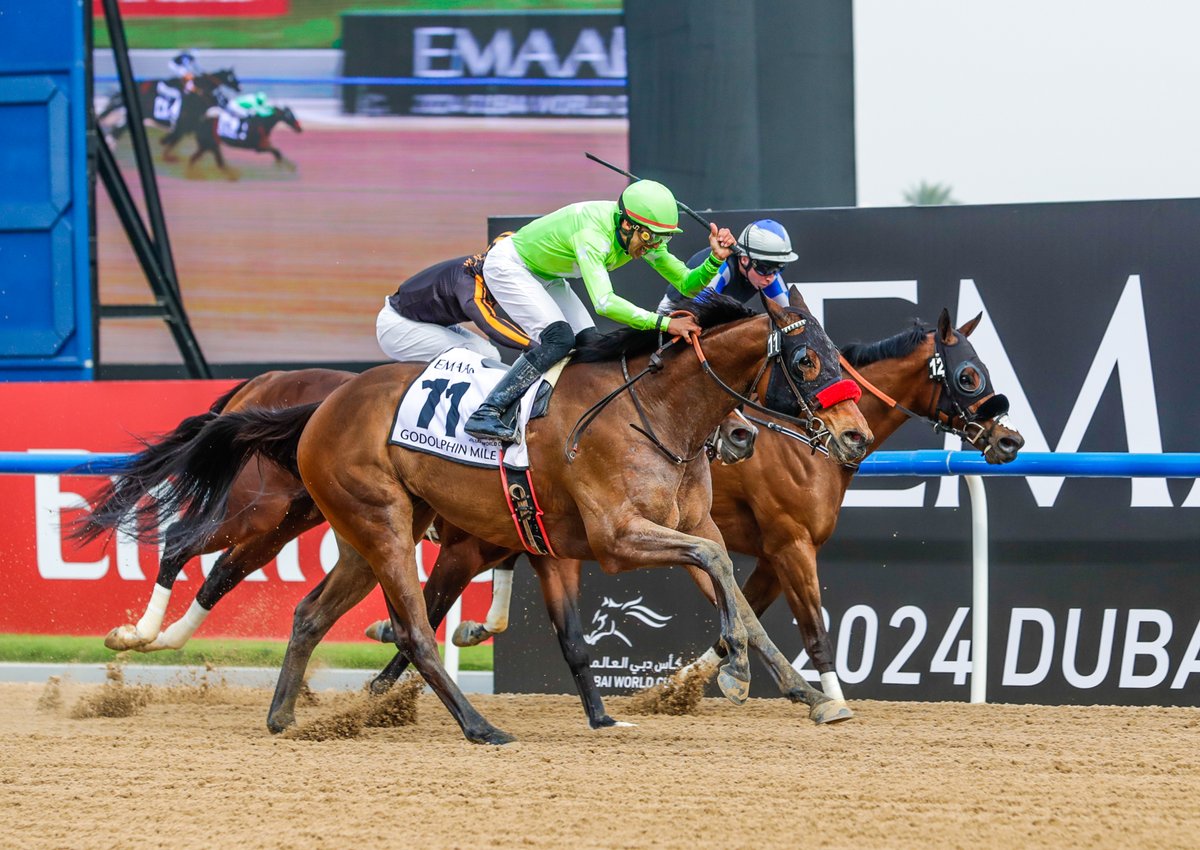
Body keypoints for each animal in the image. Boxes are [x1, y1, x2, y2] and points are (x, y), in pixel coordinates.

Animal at [129, 294, 873, 744]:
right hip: (355, 521)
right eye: (806, 359)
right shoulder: (617, 539)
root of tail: (322, 404)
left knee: (310, 612)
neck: (657, 414)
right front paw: (735, 671)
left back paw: (283, 715)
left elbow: (724, 597)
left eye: (843, 355)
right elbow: (719, 572)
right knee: (410, 627)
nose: (856, 437)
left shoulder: (621, 536)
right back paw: (478, 725)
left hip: (358, 533)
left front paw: (808, 694)